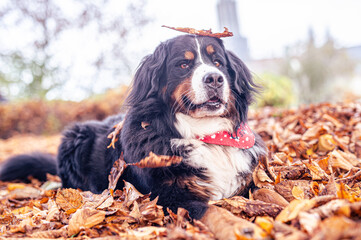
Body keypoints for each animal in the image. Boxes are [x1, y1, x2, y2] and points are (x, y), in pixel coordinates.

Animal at [0, 33, 264, 232]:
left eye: (218, 63)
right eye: (183, 64)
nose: (215, 78)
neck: (204, 135)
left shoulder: (249, 180)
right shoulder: (169, 196)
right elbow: (213, 210)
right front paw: (241, 227)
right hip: (74, 136)